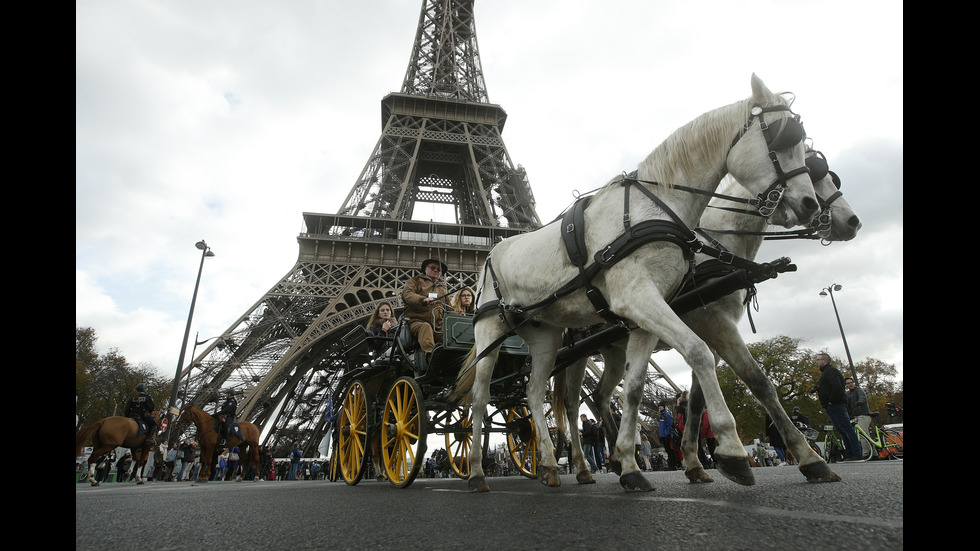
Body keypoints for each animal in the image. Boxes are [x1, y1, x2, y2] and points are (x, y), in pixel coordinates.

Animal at [456, 75, 824, 494]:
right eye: (785, 138)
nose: (812, 205)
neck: (658, 205)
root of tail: (492, 248)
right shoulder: (647, 302)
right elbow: (698, 354)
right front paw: (731, 452)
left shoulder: (649, 307)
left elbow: (638, 387)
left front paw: (631, 464)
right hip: (491, 329)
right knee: (481, 399)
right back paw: (477, 471)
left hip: (546, 334)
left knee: (536, 394)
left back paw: (552, 465)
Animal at [556, 147, 860, 488]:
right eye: (812, 172)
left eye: (830, 176)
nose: (852, 221)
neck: (716, 245)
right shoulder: (713, 323)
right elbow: (752, 382)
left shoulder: (715, 332)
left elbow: (709, 397)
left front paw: (697, 463)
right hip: (576, 355)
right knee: (572, 406)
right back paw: (583, 467)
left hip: (613, 349)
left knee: (599, 396)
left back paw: (621, 461)